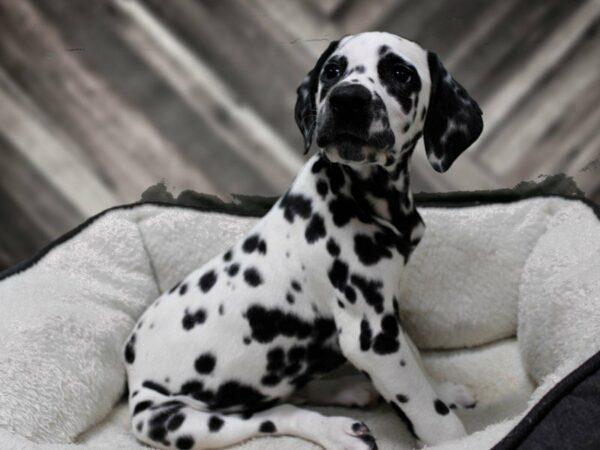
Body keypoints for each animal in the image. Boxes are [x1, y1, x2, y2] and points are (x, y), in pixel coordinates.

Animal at [123, 32, 482, 450]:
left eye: (400, 73)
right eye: (333, 70)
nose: (348, 98)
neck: (357, 196)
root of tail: (133, 382)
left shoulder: (386, 317)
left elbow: (418, 365)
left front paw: (444, 392)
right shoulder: (371, 337)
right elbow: (427, 409)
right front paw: (456, 436)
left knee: (295, 393)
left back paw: (349, 390)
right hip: (181, 423)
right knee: (277, 414)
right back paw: (338, 430)